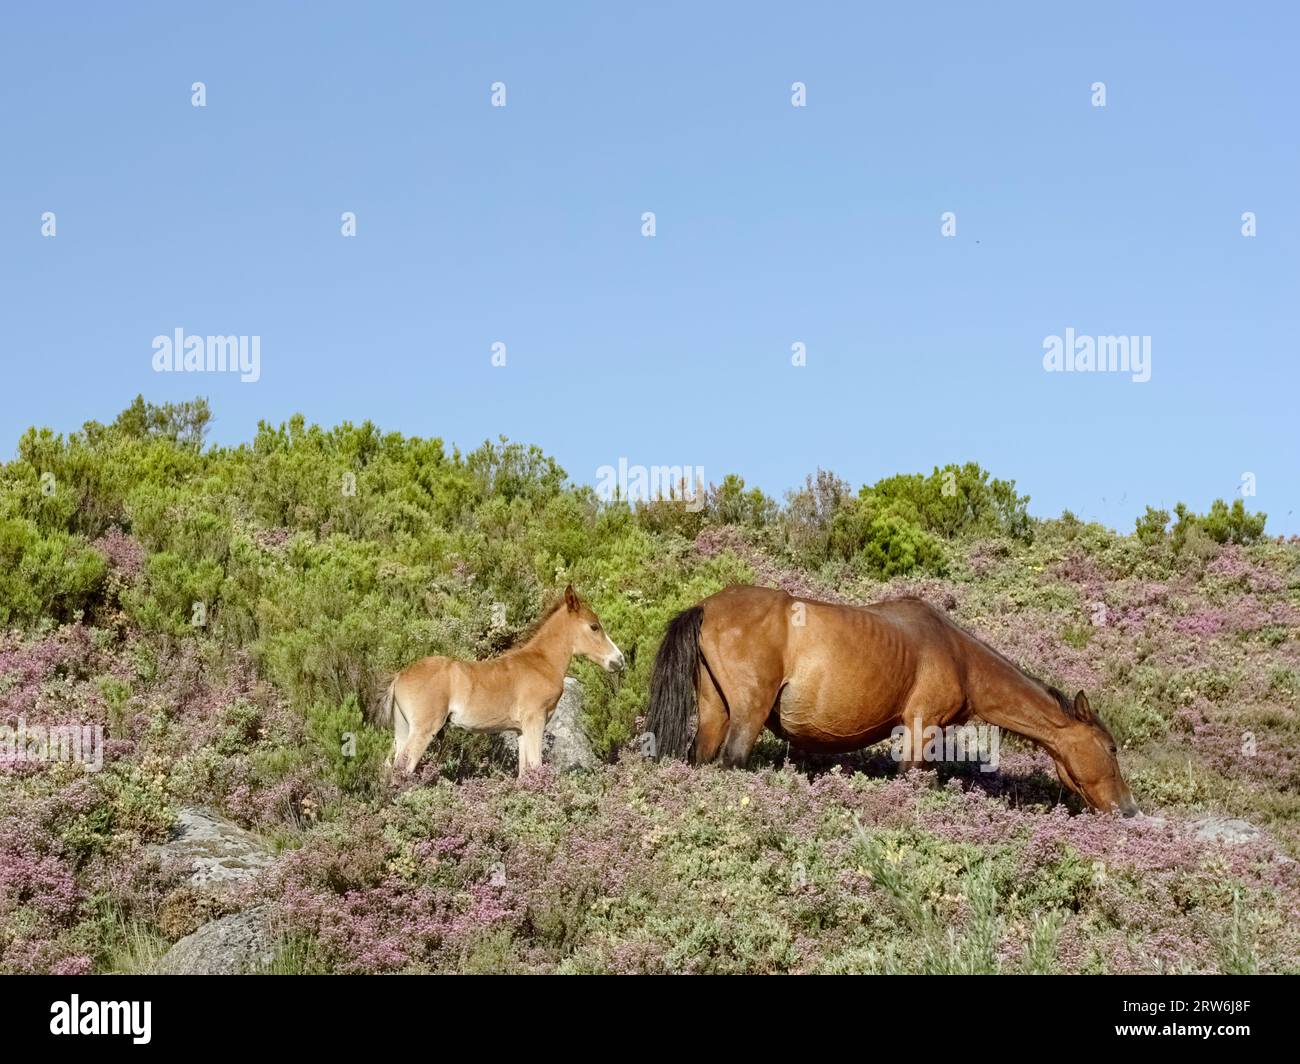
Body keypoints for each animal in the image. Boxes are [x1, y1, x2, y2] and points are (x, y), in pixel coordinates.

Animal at [377, 585, 624, 775]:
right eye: (594, 626)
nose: (619, 660)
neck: (542, 662)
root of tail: (400, 675)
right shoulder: (535, 720)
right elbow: (536, 765)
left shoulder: (521, 730)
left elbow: (525, 774)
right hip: (424, 728)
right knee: (404, 768)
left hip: (403, 728)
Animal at [650, 587, 1138, 811]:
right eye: (1111, 748)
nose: (1128, 809)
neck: (957, 656)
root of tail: (708, 607)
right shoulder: (921, 731)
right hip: (746, 719)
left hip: (714, 713)